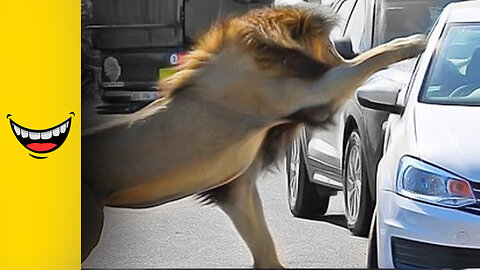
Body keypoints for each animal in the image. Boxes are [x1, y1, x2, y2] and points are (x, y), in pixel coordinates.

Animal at [82, 2, 424, 268]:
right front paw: (414, 42)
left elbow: (267, 253)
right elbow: (366, 61)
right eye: (329, 45)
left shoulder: (237, 190)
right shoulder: (312, 92)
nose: (341, 49)